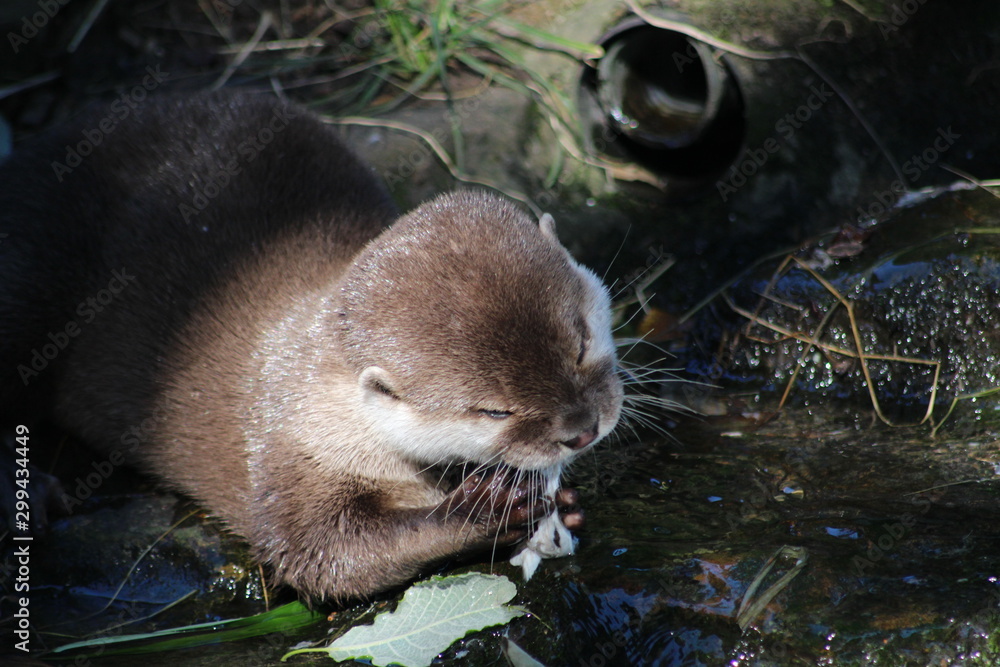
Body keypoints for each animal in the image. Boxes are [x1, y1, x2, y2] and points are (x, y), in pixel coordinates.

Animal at [0, 93, 623, 600]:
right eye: (493, 410)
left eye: (580, 343)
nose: (581, 430)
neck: (327, 401)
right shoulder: (290, 450)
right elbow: (316, 553)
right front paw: (482, 510)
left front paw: (561, 507)